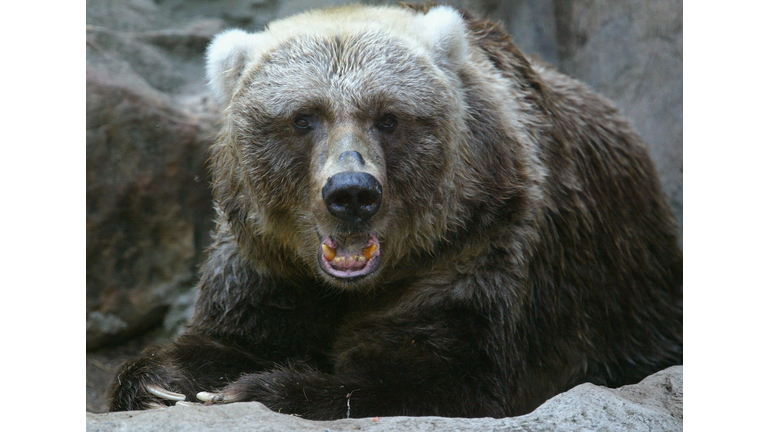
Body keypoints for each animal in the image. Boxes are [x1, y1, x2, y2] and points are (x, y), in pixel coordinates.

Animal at [109, 3, 684, 418]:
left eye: (389, 117)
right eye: (303, 118)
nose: (351, 192)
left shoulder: (477, 246)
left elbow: (439, 375)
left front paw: (255, 389)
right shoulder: (265, 261)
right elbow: (232, 334)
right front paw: (165, 384)